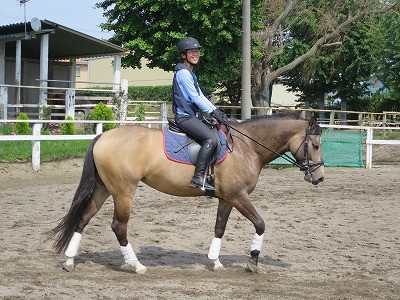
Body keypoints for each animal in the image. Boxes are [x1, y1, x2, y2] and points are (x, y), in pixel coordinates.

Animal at [47, 111, 324, 274]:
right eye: (315, 145)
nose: (319, 177)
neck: (247, 147)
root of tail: (103, 136)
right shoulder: (239, 196)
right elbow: (260, 224)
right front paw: (253, 262)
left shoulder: (227, 198)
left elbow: (219, 228)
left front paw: (215, 262)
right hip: (124, 191)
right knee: (119, 226)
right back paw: (136, 265)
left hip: (104, 188)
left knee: (83, 219)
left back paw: (70, 260)